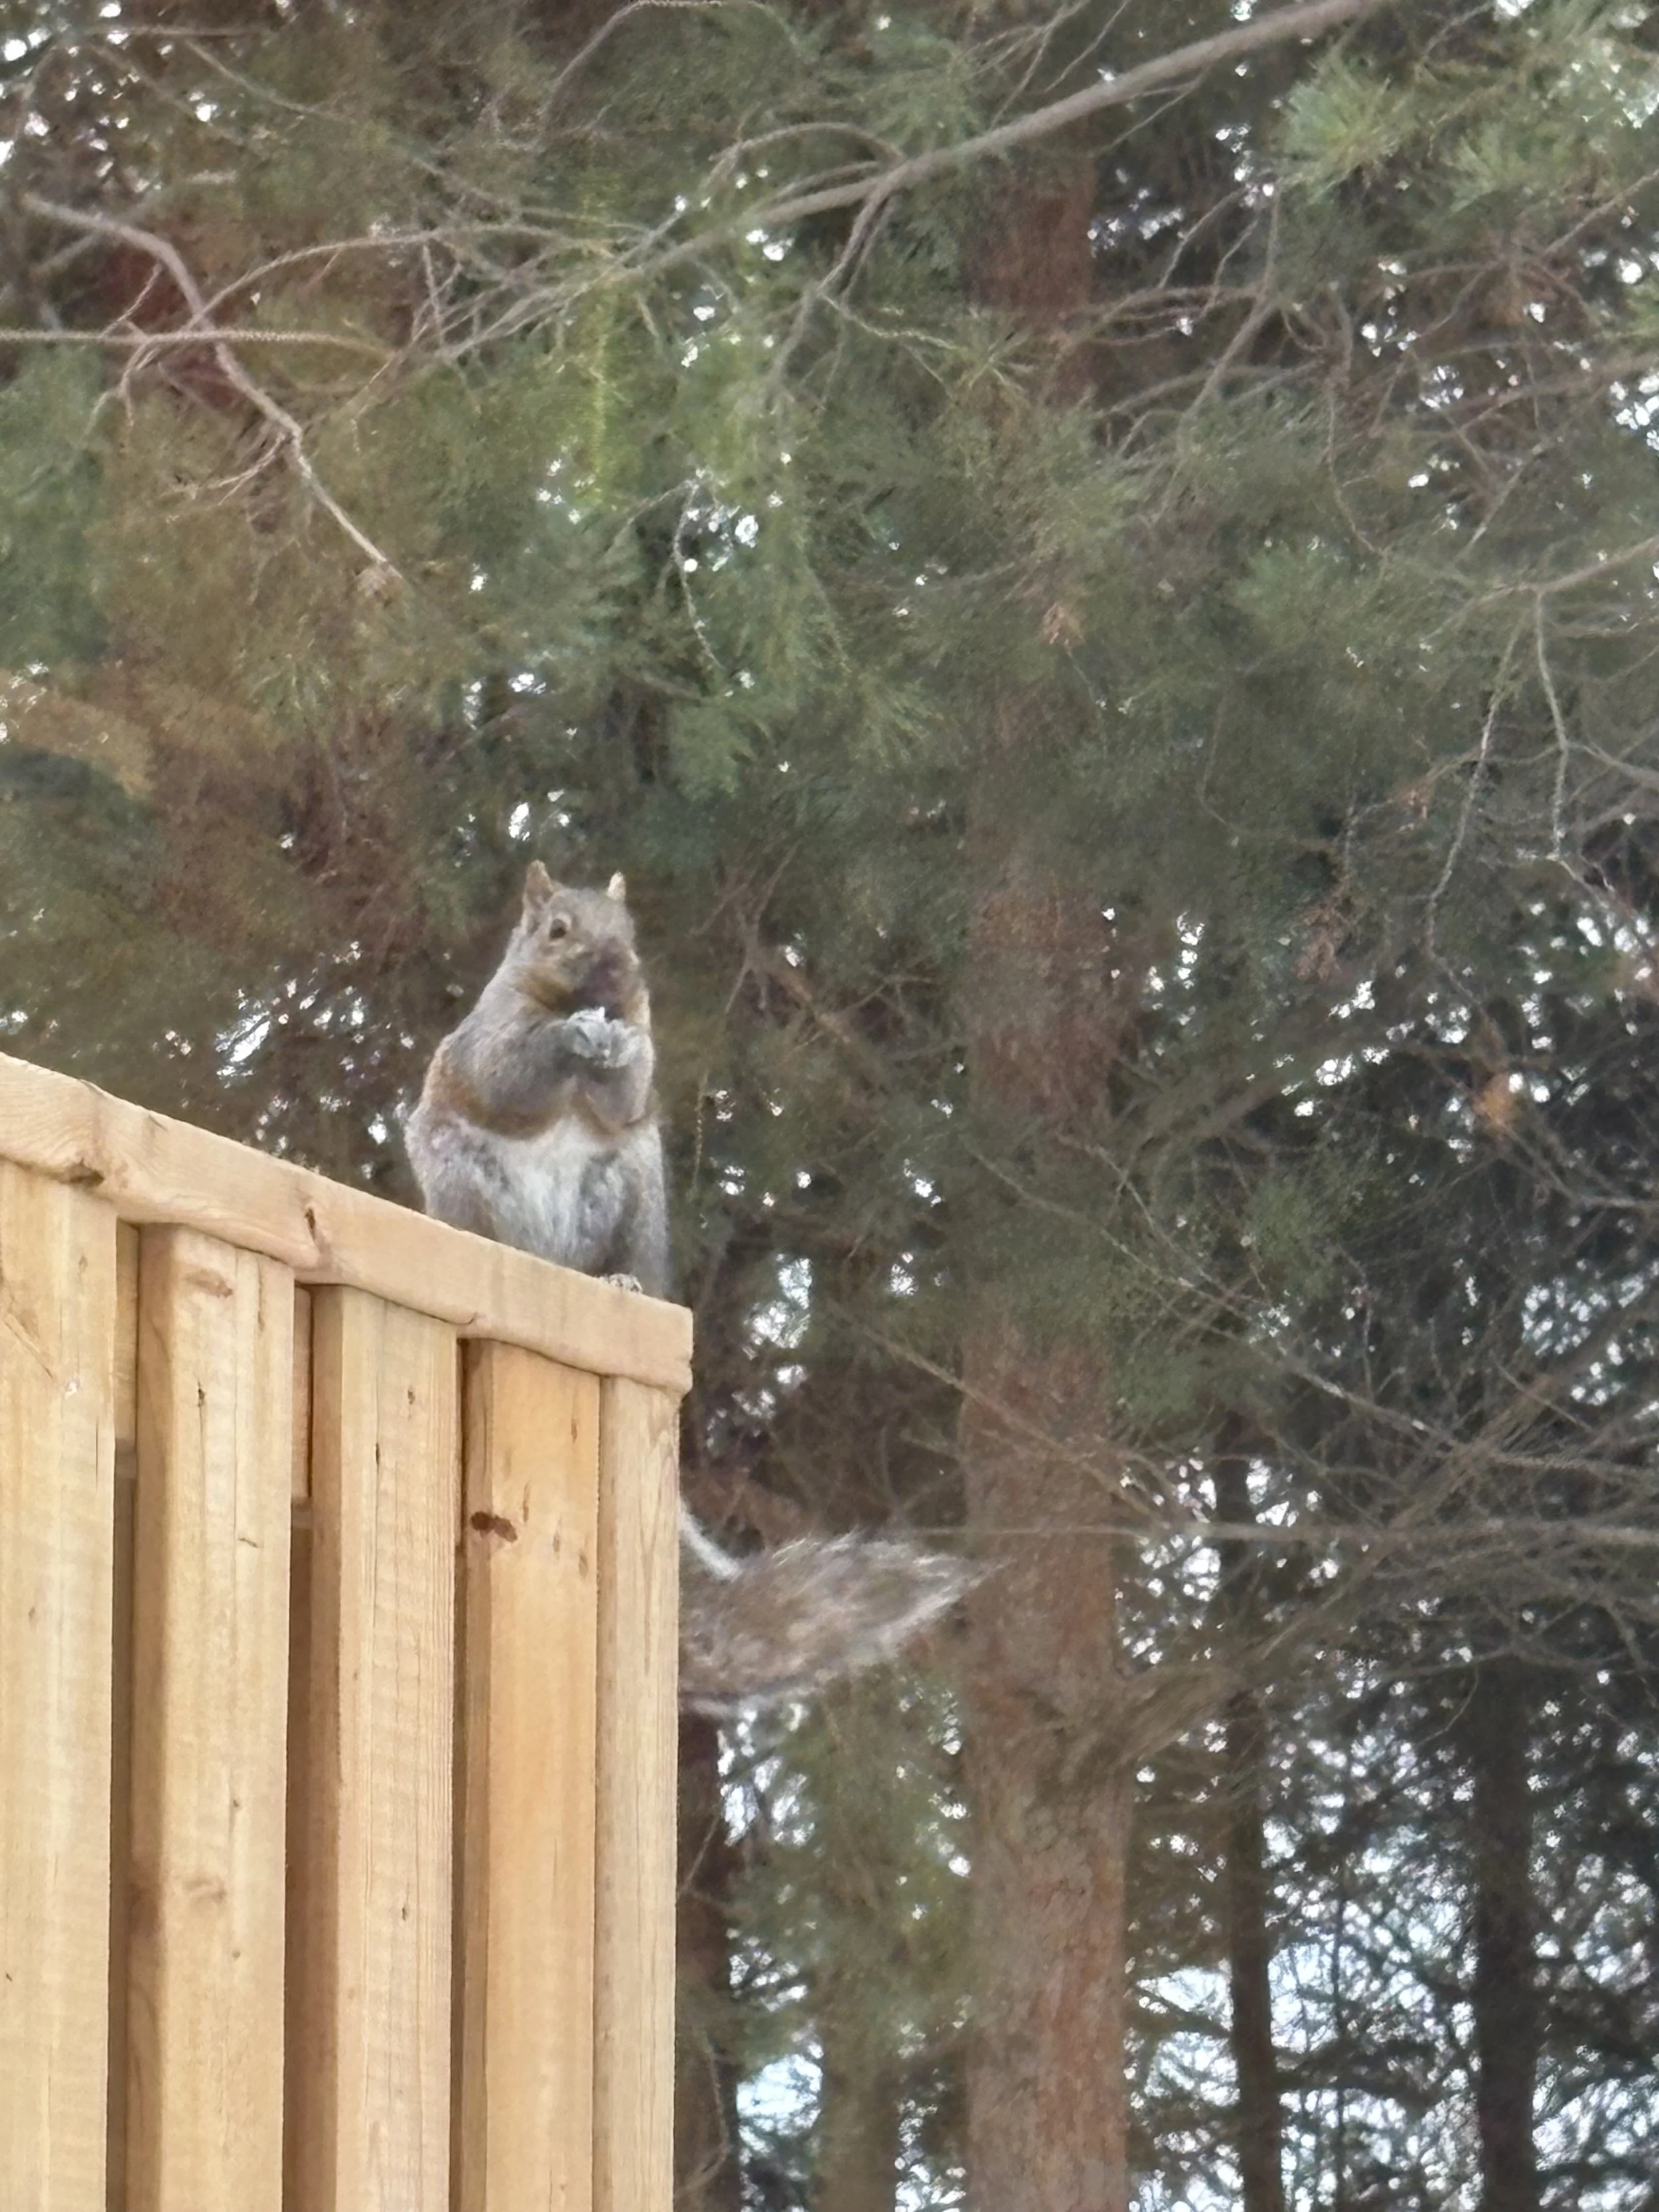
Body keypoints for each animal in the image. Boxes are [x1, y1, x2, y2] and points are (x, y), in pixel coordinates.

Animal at [407, 860, 974, 1712]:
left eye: (630, 935)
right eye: (559, 931)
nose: (616, 972)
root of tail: (550, 1261)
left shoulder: (639, 1064)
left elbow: (628, 1088)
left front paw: (617, 1051)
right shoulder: (492, 1035)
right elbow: (509, 1073)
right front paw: (569, 1040)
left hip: (630, 1195)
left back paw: (620, 1279)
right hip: (463, 1177)